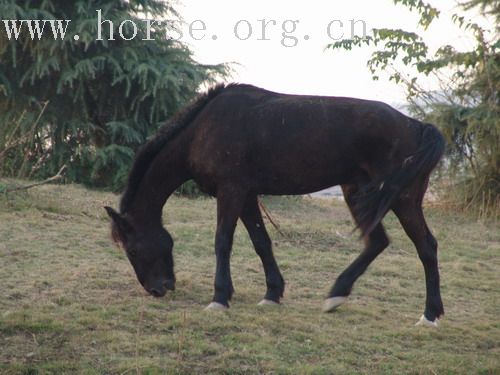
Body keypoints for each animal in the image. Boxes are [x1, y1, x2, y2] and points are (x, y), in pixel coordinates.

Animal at [106, 82, 446, 326]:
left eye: (132, 250)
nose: (158, 288)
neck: (204, 129)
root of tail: (416, 126)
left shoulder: (231, 192)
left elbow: (222, 242)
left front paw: (220, 297)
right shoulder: (246, 195)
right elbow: (261, 241)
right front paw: (272, 293)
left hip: (403, 199)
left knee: (426, 247)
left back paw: (430, 314)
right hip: (358, 193)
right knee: (377, 241)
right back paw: (336, 295)